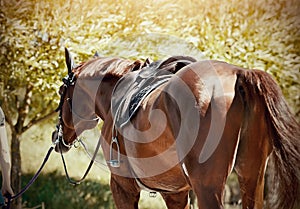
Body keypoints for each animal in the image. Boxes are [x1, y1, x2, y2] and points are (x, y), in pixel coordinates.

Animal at [52, 48, 298, 209]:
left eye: (61, 91)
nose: (57, 136)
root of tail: (239, 73)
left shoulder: (122, 186)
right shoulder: (176, 194)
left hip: (208, 187)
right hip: (251, 176)